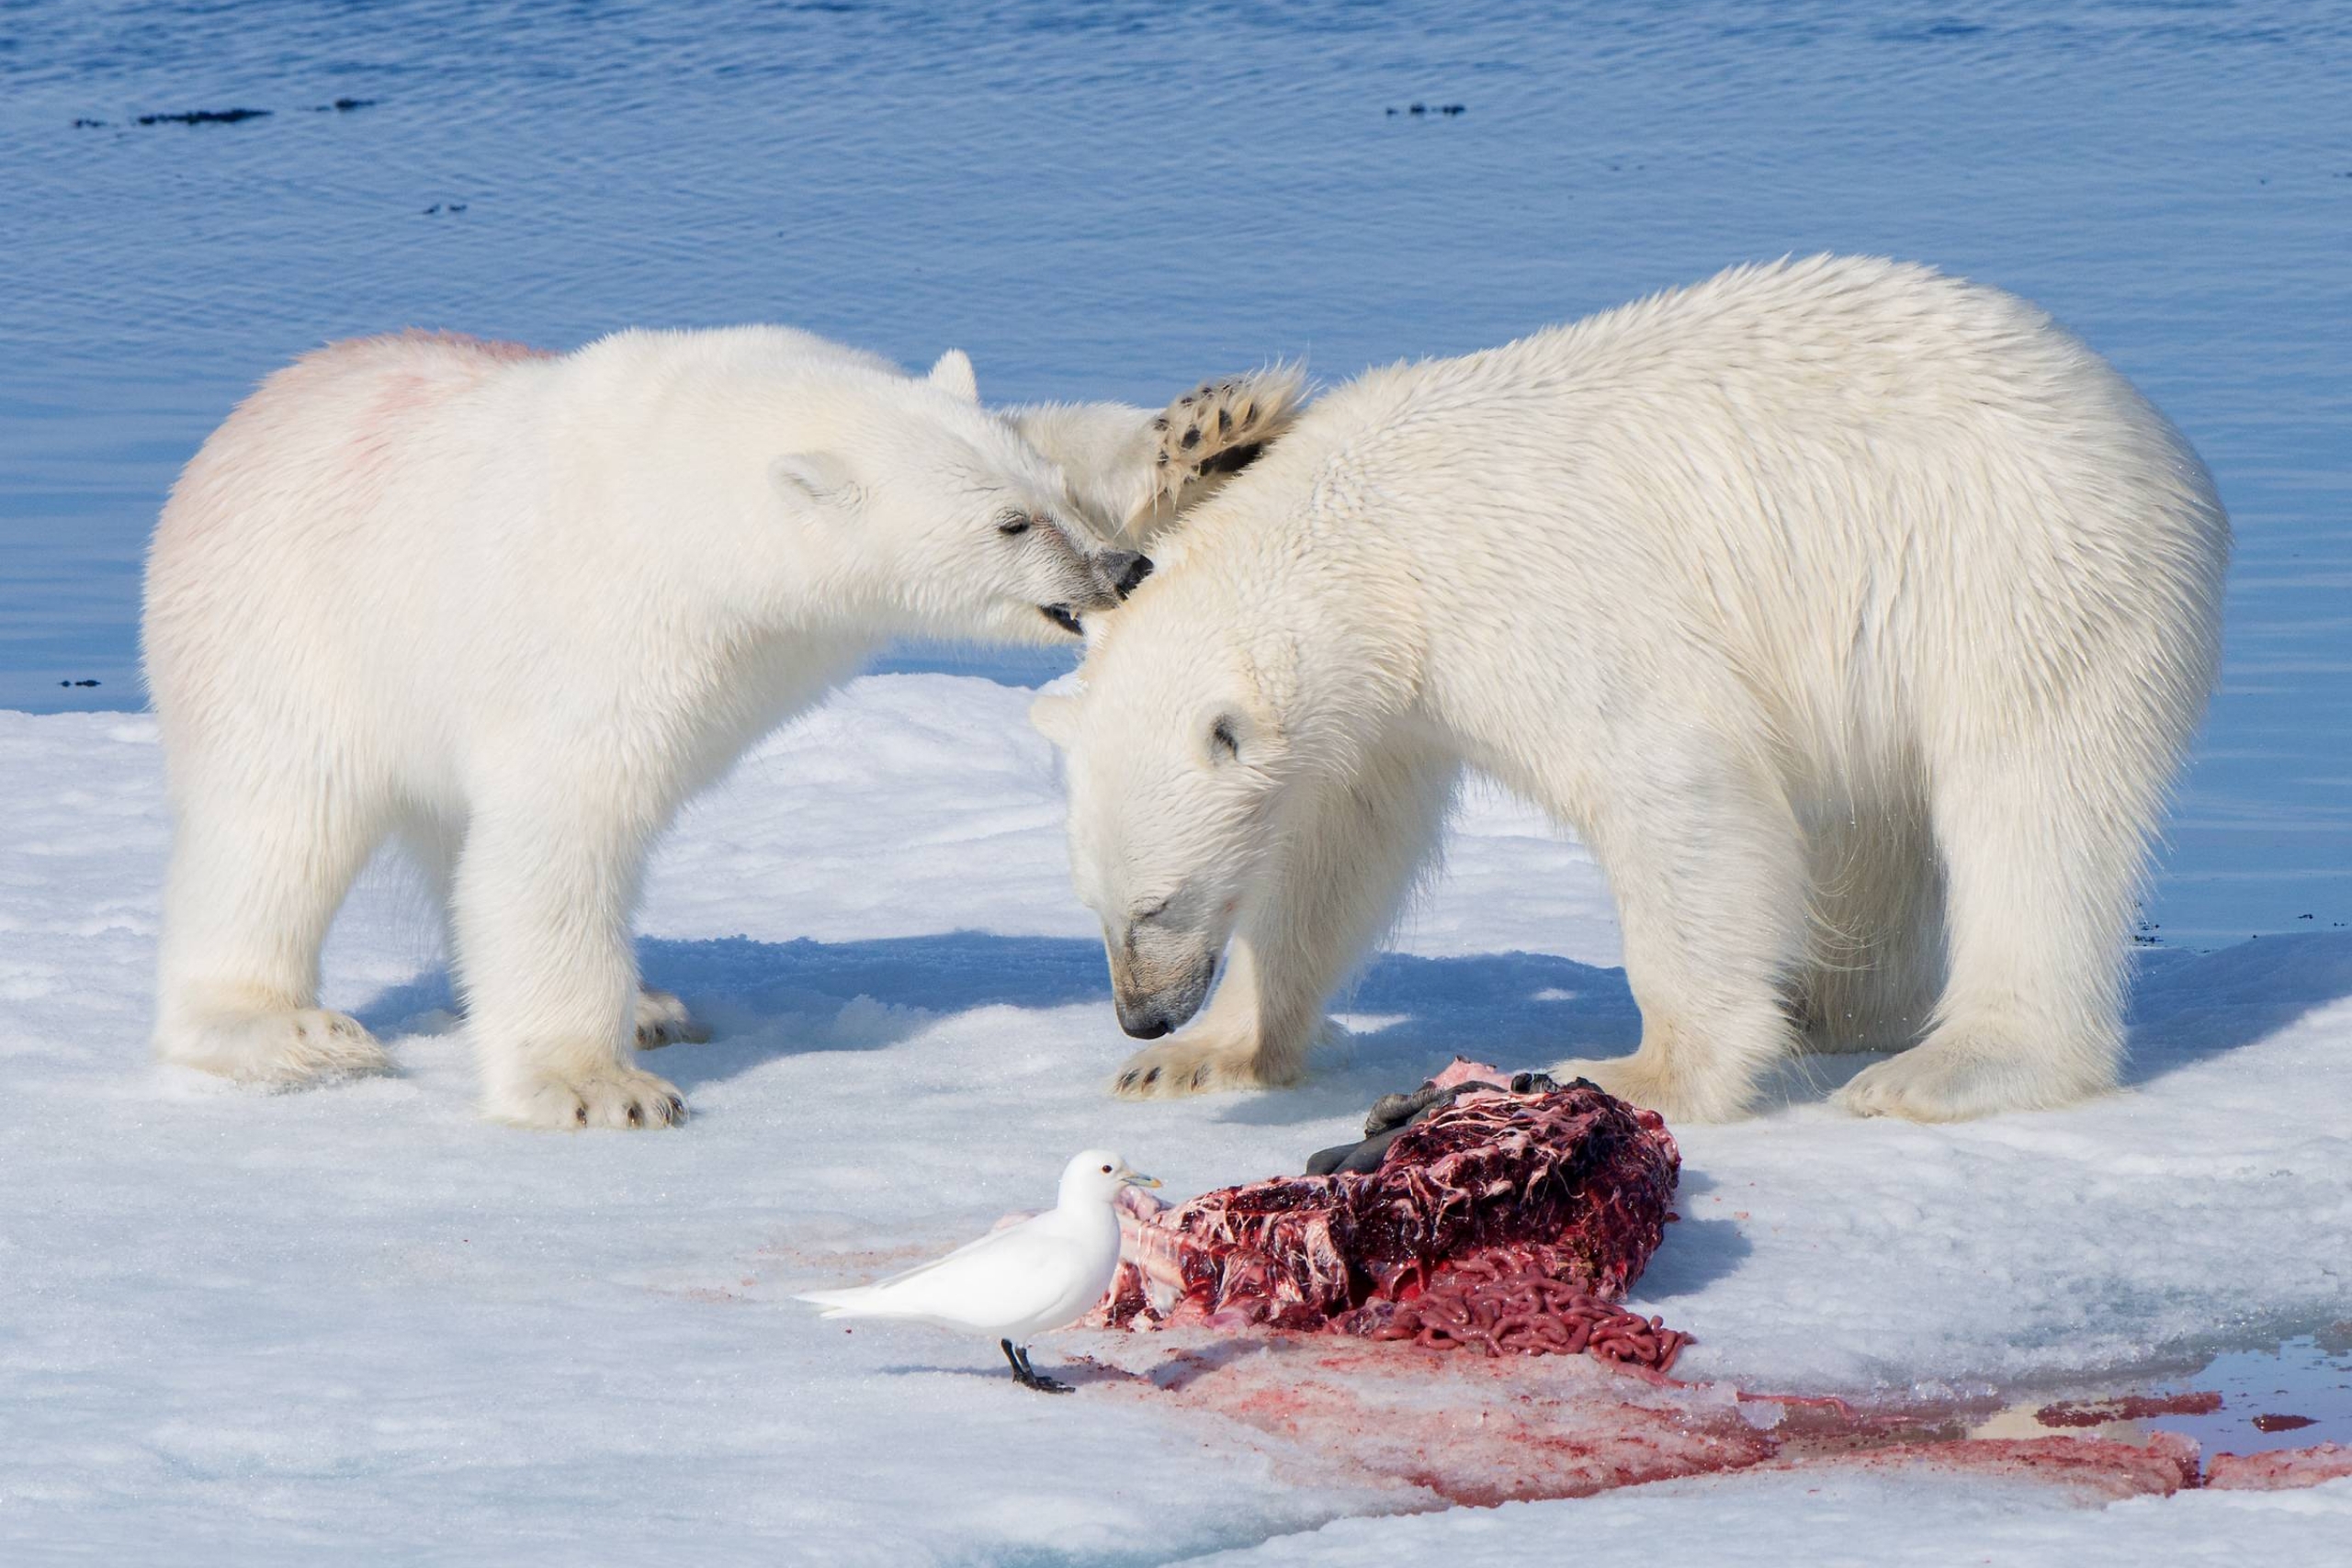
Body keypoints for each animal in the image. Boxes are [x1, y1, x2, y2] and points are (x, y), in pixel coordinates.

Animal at [142, 324, 1188, 1129]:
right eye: (1009, 524)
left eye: (1055, 492)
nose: (1119, 570)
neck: (686, 500)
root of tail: (235, 429)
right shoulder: (597, 639)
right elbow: (560, 833)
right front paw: (597, 1087)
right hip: (285, 639)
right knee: (276, 828)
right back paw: (287, 1029)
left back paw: (649, 1003)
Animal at [1031, 256, 2231, 1124]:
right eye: (1092, 905)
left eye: (1158, 903)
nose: (1140, 1016)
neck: (1362, 541)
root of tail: (2151, 430)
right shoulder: (1388, 703)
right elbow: (1339, 845)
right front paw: (1209, 1054)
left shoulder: (1526, 605)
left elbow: (1674, 785)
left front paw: (1640, 1070)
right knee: (1868, 830)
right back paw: (1833, 1005)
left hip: (2020, 574)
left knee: (2028, 808)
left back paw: (1946, 1066)